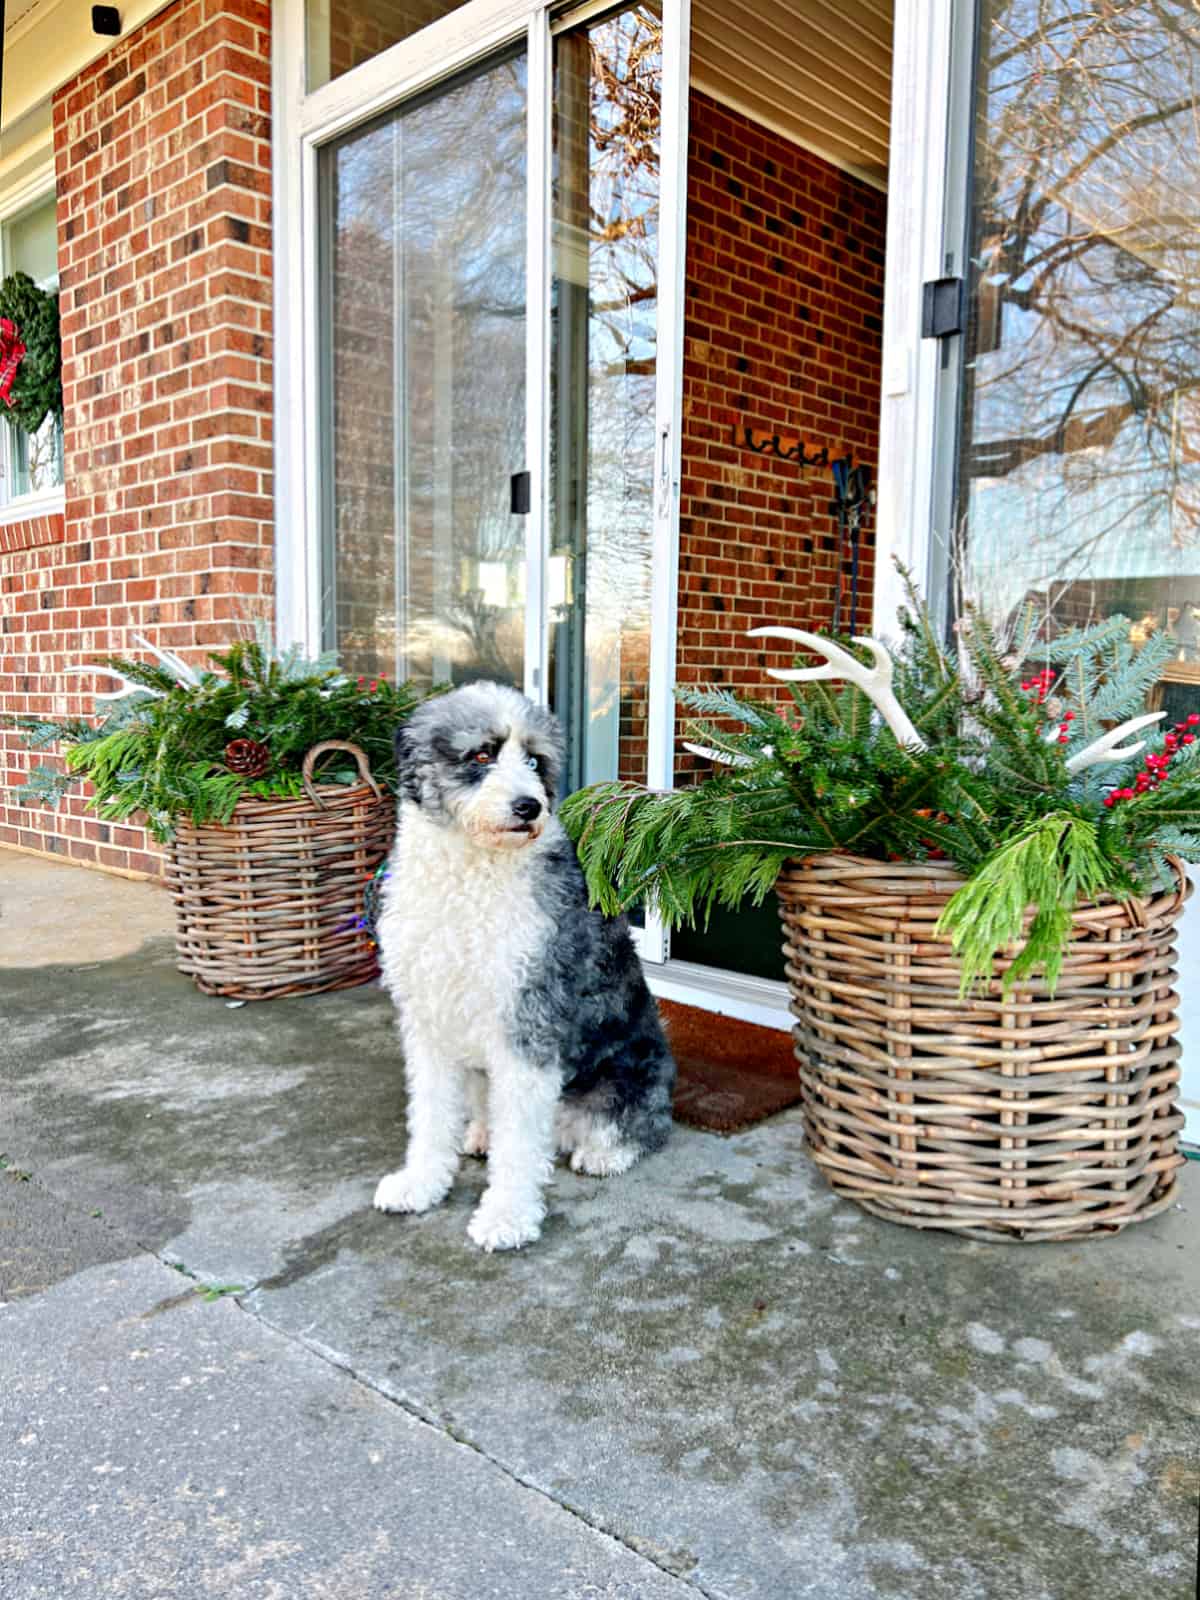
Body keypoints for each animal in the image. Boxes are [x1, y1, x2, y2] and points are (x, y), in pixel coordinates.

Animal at [374, 675, 678, 1248]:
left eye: (535, 761)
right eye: (481, 754)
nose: (528, 807)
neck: (470, 876)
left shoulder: (528, 1022)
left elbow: (519, 1145)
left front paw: (506, 1216)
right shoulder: (428, 1024)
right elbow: (430, 1116)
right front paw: (420, 1184)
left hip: (632, 1075)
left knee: (644, 1126)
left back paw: (605, 1153)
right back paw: (479, 1133)